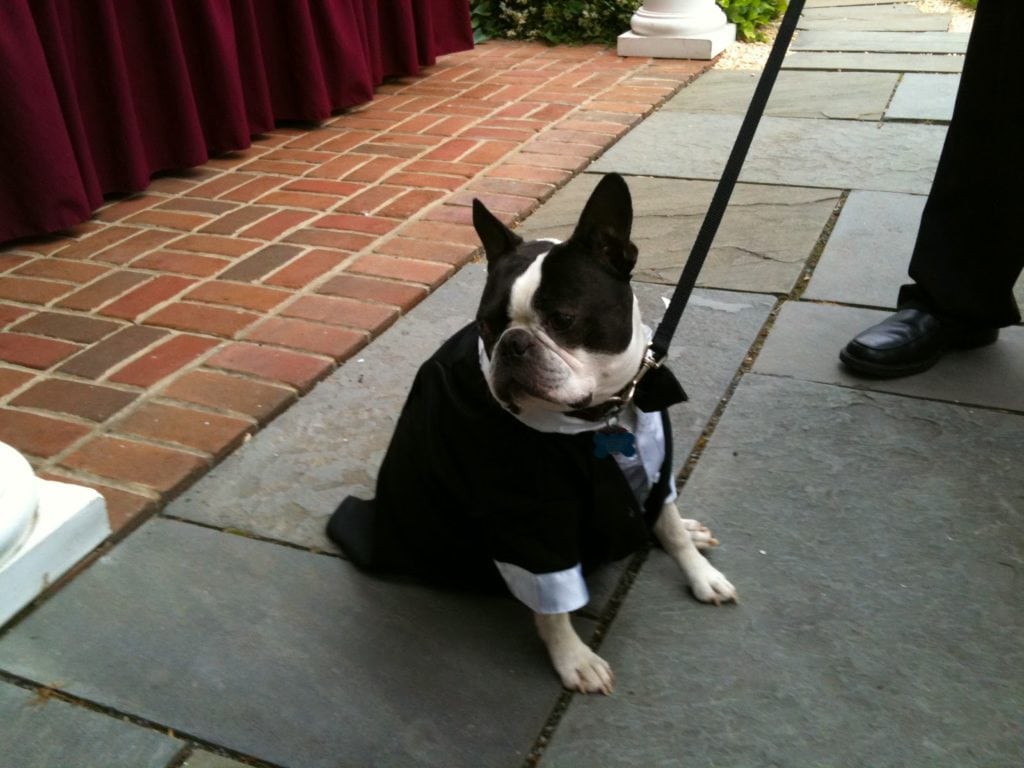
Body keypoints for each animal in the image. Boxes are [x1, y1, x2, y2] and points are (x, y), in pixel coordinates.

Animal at [323, 176, 733, 696]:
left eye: (563, 319)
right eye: (486, 325)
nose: (512, 345)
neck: (597, 419)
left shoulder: (656, 463)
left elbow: (671, 527)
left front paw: (701, 573)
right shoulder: (528, 517)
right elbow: (552, 601)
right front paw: (573, 659)